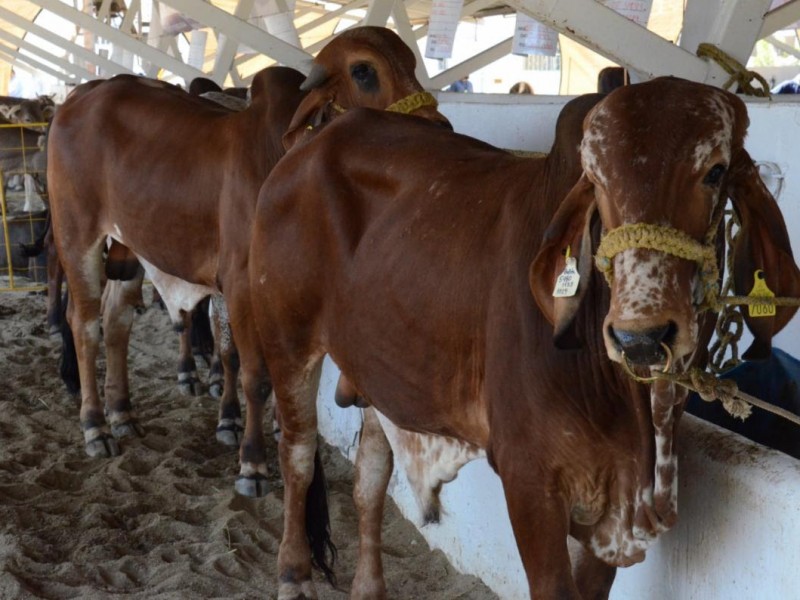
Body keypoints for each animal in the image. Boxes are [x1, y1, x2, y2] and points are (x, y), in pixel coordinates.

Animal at [244, 77, 800, 596]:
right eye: (595, 179)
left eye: (715, 171)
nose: (639, 336)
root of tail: (312, 142)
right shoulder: (529, 482)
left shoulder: (615, 516)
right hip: (285, 338)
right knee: (297, 452)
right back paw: (292, 573)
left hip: (379, 367)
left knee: (370, 475)